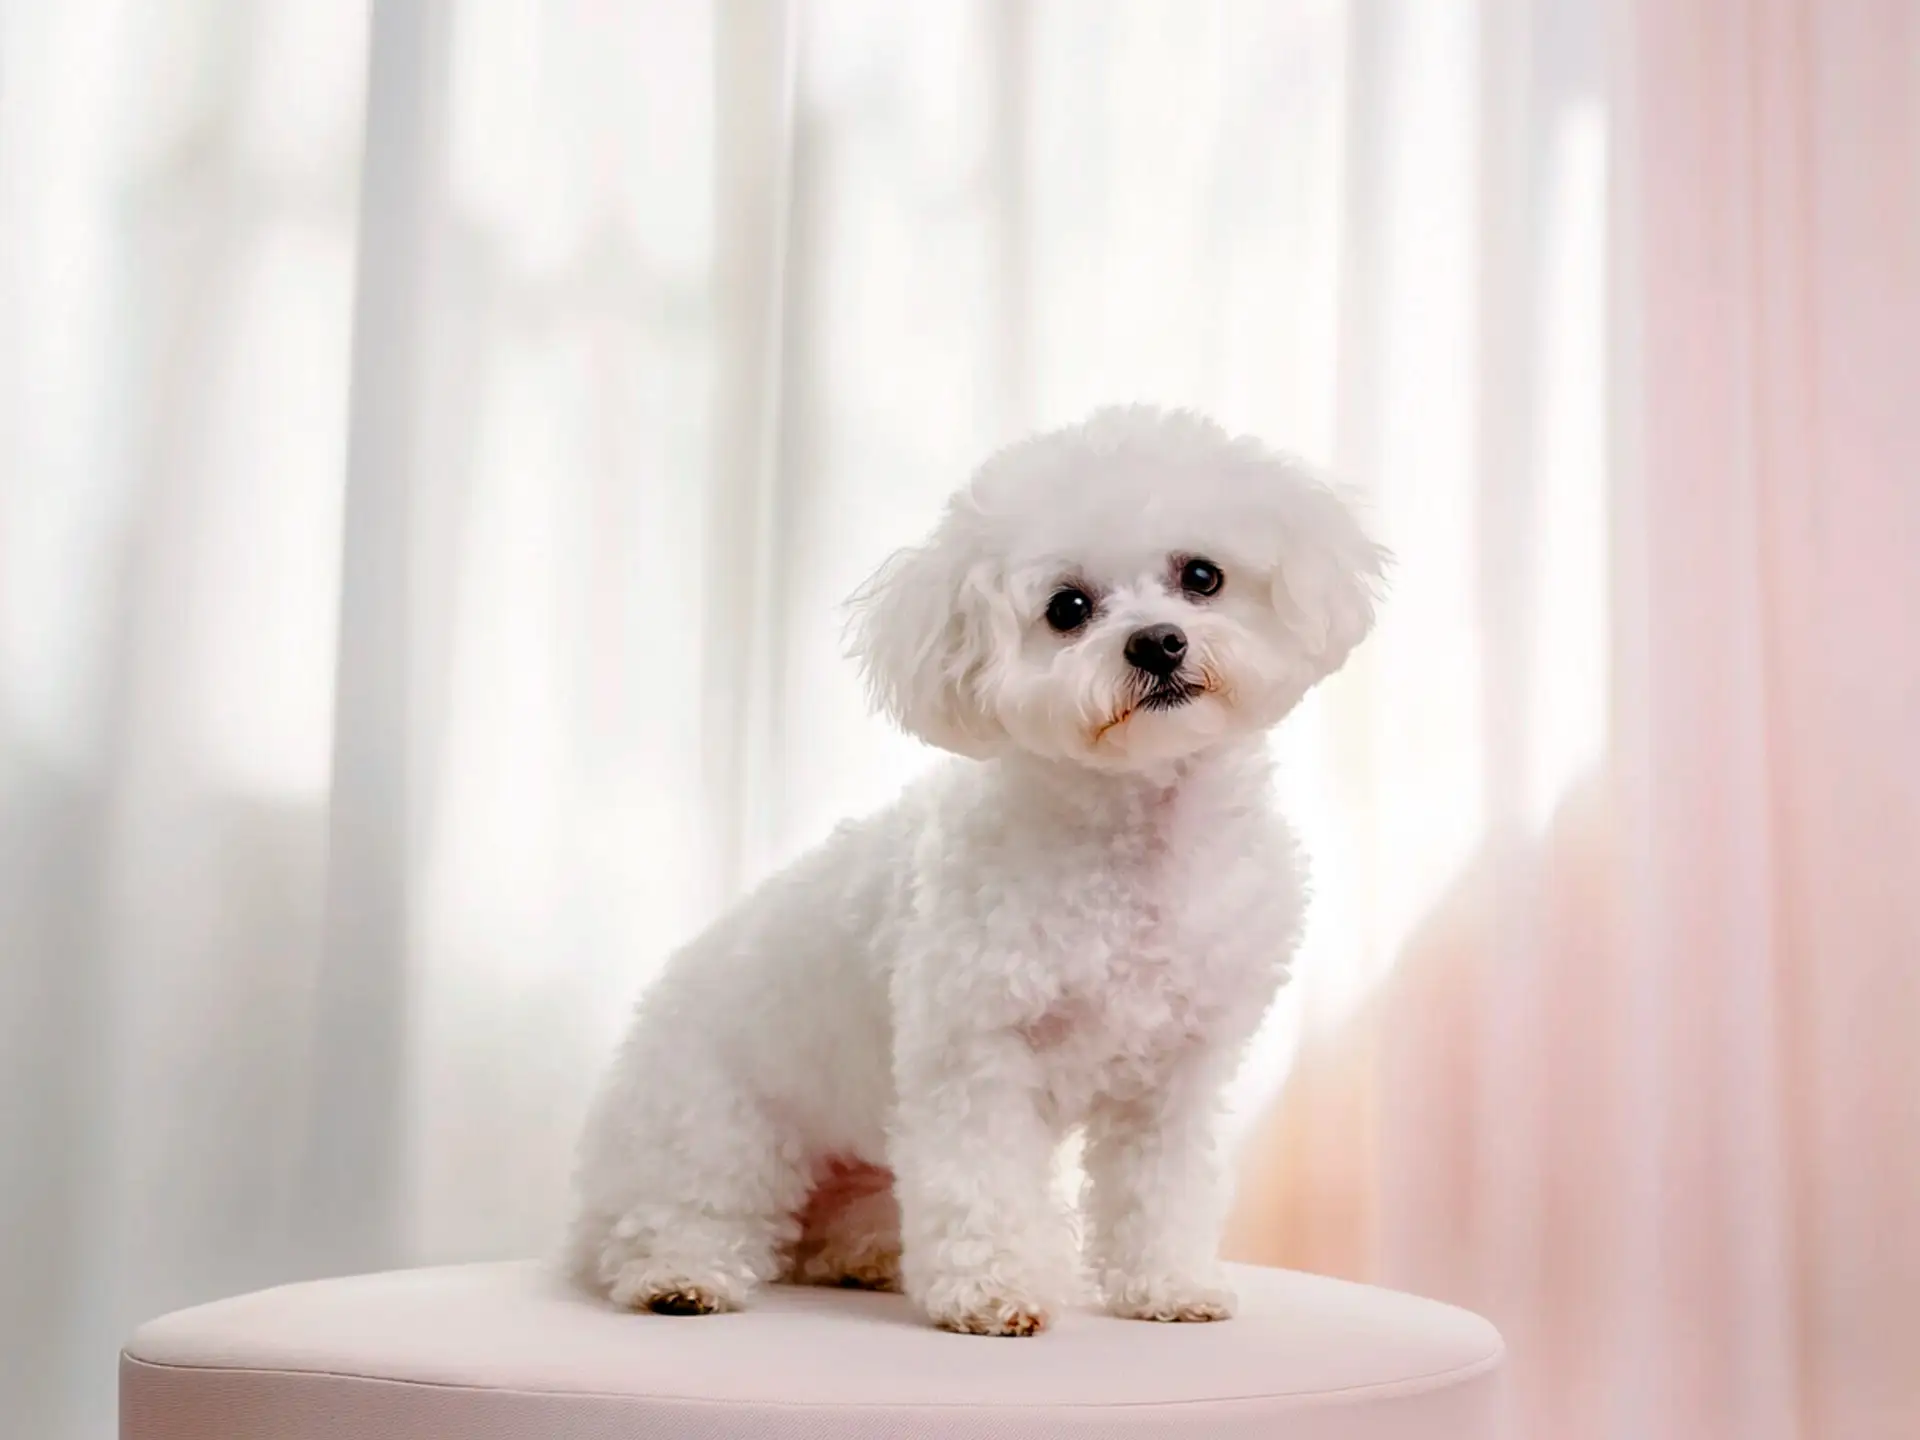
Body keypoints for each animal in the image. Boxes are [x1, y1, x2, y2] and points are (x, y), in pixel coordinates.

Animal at [560, 407, 1390, 1344]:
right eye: (1068, 608)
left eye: (1201, 577)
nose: (1158, 642)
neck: (1135, 837)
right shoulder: (975, 1055)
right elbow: (981, 1181)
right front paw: (994, 1293)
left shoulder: (1177, 1075)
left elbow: (1160, 1191)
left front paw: (1168, 1285)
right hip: (714, 1129)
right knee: (676, 1218)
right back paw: (678, 1279)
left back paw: (863, 1260)